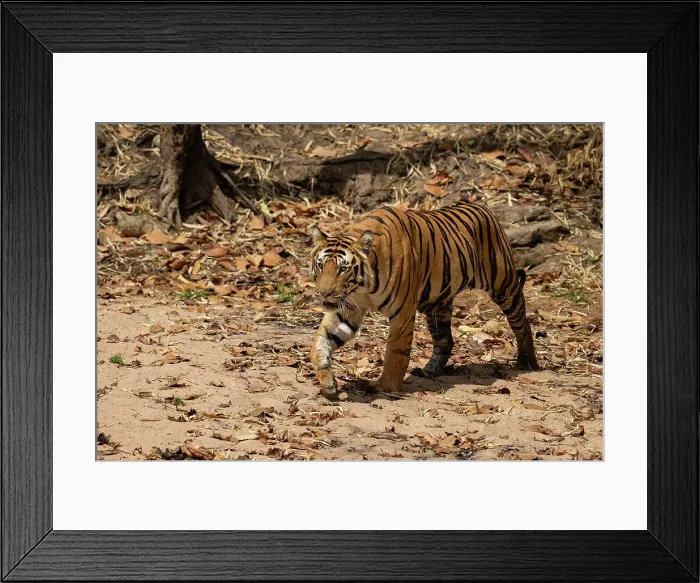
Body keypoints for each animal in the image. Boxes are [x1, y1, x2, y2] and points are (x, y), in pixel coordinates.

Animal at [309, 200, 539, 396]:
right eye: (320, 265)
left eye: (343, 269)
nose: (324, 293)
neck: (362, 288)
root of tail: (484, 208)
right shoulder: (346, 308)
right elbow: (320, 342)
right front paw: (327, 382)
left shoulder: (402, 313)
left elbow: (395, 352)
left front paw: (386, 387)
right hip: (438, 305)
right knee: (445, 341)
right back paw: (429, 371)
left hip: (504, 285)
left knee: (522, 323)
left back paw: (527, 363)